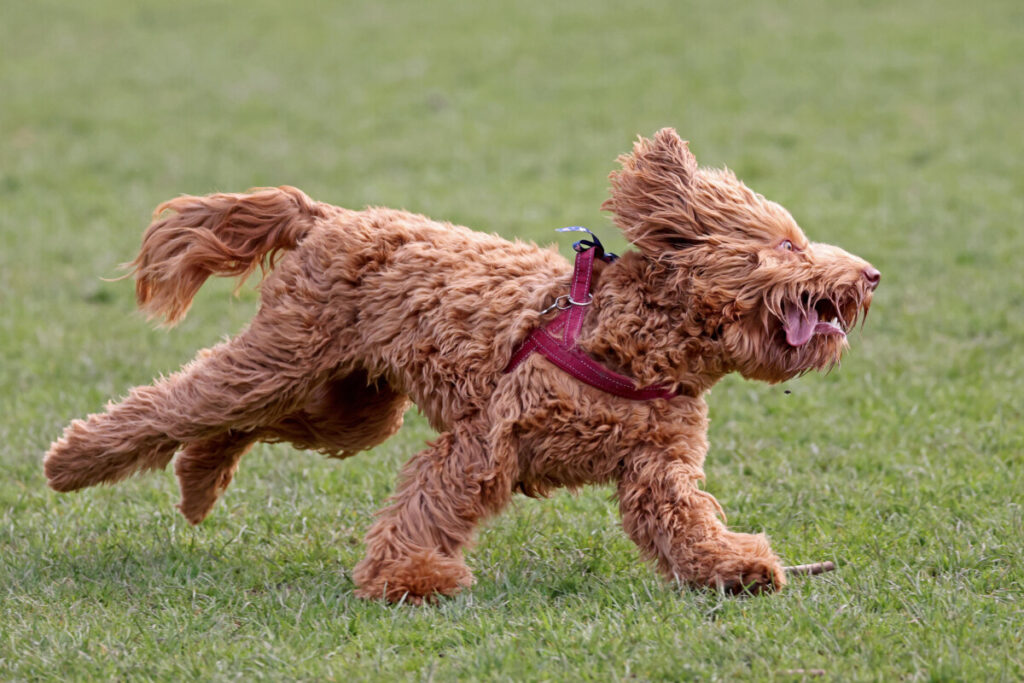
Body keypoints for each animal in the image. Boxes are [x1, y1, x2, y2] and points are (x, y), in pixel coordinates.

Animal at [46, 129, 880, 602]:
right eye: (787, 244)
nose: (870, 274)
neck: (626, 336)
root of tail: (329, 217)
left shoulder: (656, 466)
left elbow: (684, 520)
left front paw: (732, 566)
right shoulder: (486, 439)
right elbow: (430, 502)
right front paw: (408, 580)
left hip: (349, 403)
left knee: (242, 425)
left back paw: (197, 481)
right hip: (283, 360)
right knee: (180, 403)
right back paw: (71, 461)